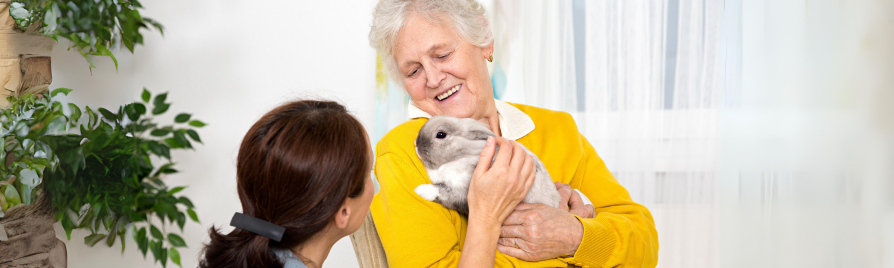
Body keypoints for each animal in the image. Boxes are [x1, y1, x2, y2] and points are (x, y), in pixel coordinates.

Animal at [412, 115, 560, 216]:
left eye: (441, 134)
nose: (416, 143)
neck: (463, 156)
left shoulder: (463, 192)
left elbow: (443, 192)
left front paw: (420, 190)